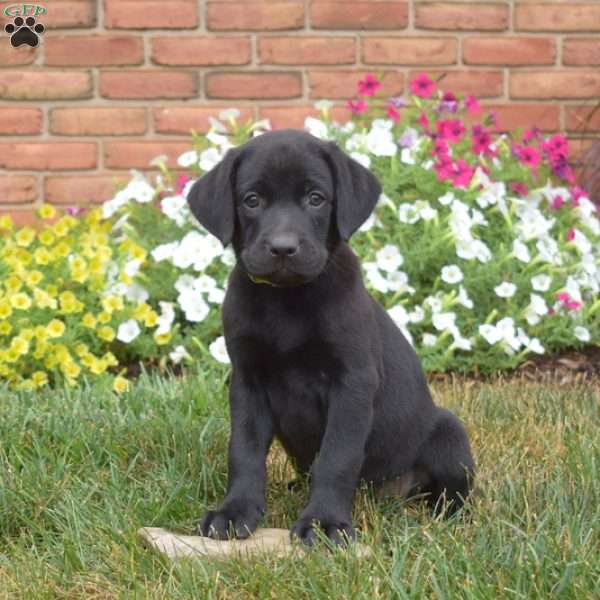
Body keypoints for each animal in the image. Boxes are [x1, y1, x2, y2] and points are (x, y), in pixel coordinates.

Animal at [188, 129, 474, 548]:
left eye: (316, 198)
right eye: (252, 200)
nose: (283, 248)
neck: (287, 300)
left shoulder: (352, 383)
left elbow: (337, 457)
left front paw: (324, 522)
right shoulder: (247, 381)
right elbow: (244, 450)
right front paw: (235, 511)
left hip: (450, 433)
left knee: (452, 492)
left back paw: (445, 518)